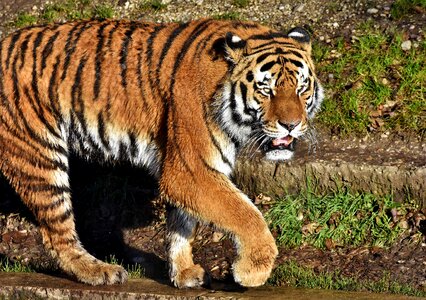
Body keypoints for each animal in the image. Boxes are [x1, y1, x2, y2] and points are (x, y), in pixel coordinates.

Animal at [0, 18, 322, 288]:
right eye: (266, 90)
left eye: (301, 88)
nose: (291, 125)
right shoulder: (190, 170)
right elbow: (246, 214)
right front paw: (252, 271)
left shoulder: (184, 170)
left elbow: (182, 224)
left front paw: (184, 273)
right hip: (40, 159)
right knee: (56, 233)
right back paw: (100, 271)